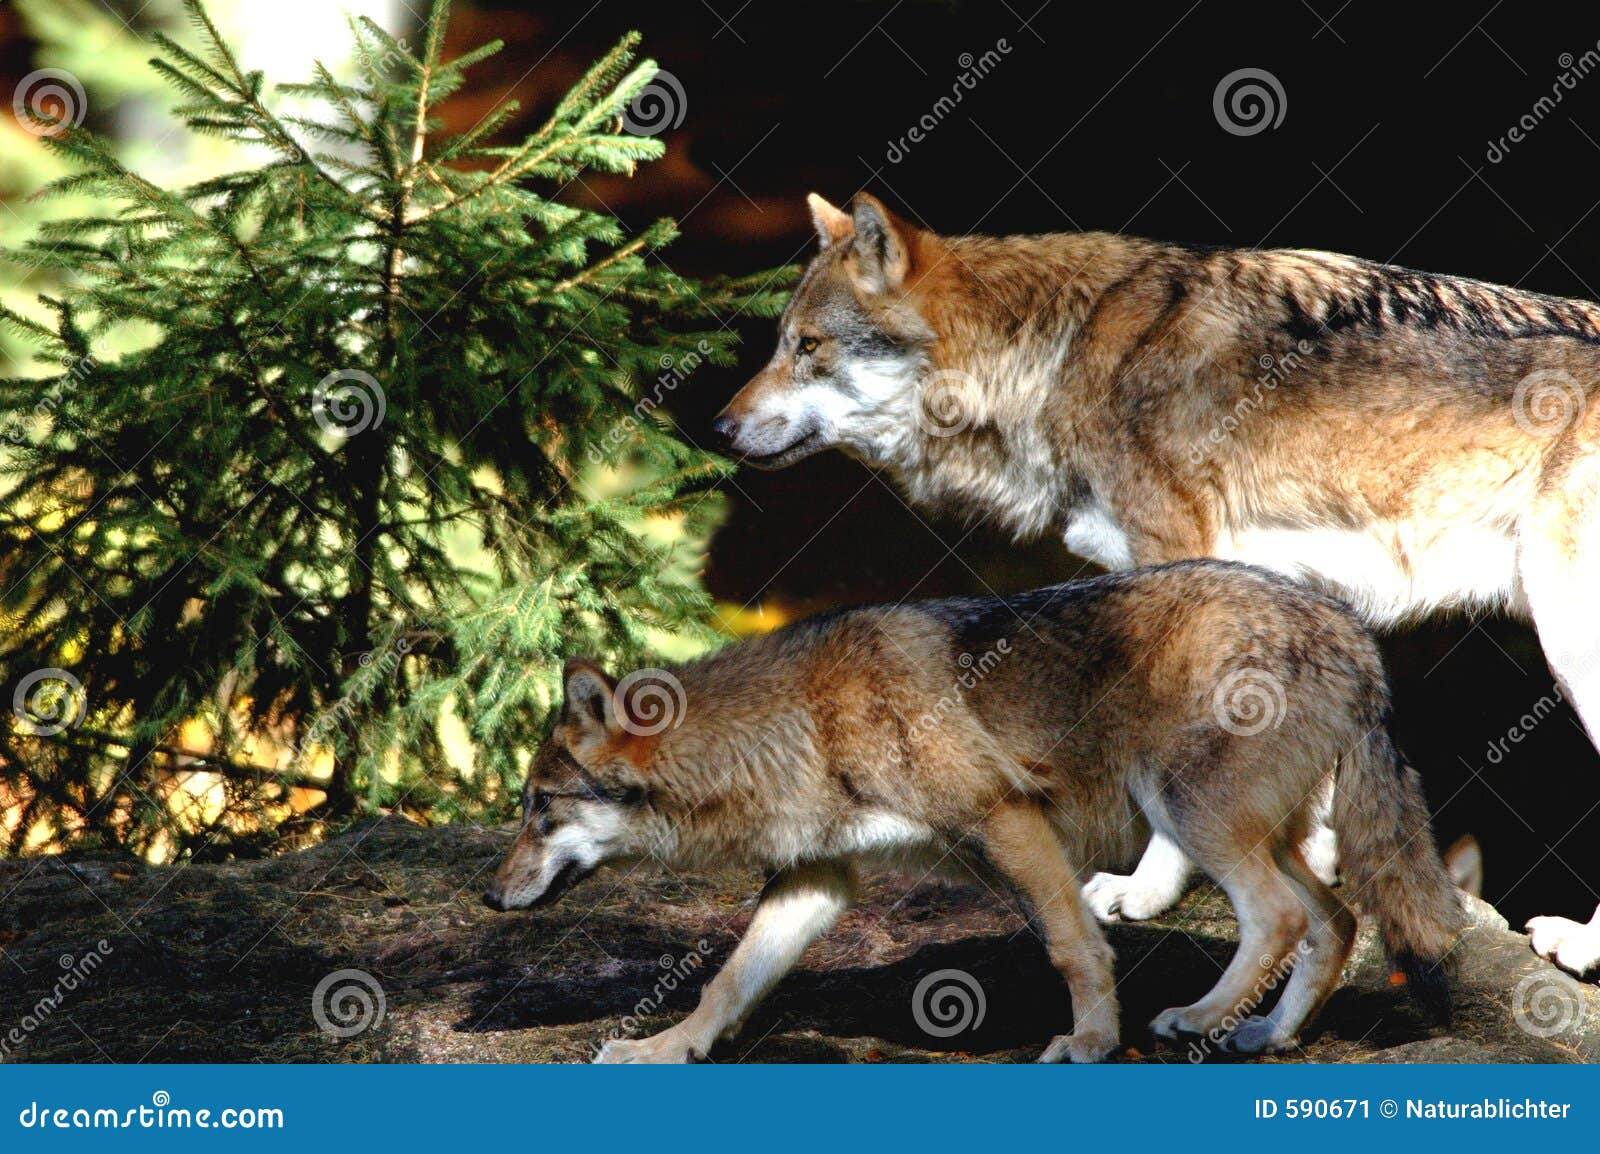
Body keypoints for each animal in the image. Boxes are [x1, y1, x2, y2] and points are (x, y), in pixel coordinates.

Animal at [480, 560, 1459, 1062]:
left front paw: (1091, 1042)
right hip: (1255, 832)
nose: (490, 897)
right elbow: (728, 981)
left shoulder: (1006, 819)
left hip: (1194, 820)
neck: (799, 724)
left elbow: (1074, 947)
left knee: (1284, 918)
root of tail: (1352, 630)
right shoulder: (817, 882)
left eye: (538, 808)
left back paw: (1195, 1018)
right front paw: (667, 1046)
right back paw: (1264, 1033)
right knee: (1336, 923)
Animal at [713, 191, 1600, 973]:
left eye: (808, 347)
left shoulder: (1174, 573)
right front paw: (1310, 860)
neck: (1057, 357)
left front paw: (1144, 893)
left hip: (1566, 642)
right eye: (782, 341)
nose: (718, 428)